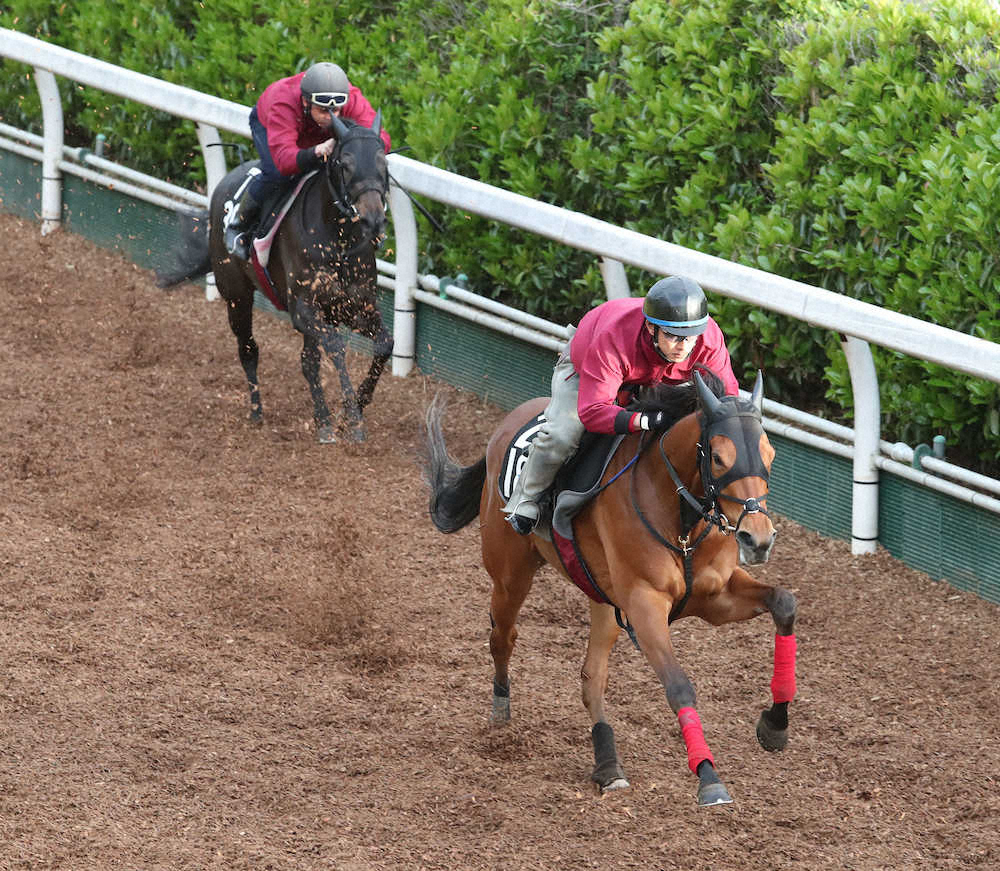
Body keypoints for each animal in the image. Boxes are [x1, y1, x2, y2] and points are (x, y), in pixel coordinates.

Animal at [157, 114, 390, 442]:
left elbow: (384, 344)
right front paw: (354, 421)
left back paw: (322, 420)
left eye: (383, 163)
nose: (374, 220)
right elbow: (336, 348)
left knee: (308, 361)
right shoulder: (303, 309)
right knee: (248, 348)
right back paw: (257, 411)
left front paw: (352, 410)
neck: (337, 240)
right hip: (236, 295)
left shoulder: (354, 306)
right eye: (345, 163)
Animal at [422, 372, 796, 808]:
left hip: (602, 599)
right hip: (510, 573)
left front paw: (775, 724)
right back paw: (501, 708)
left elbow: (784, 602)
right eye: (718, 457)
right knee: (503, 637)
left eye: (770, 454)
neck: (681, 521)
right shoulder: (644, 603)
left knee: (591, 677)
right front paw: (709, 777)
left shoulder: (715, 597)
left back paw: (608, 764)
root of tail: (509, 421)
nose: (758, 538)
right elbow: (679, 686)